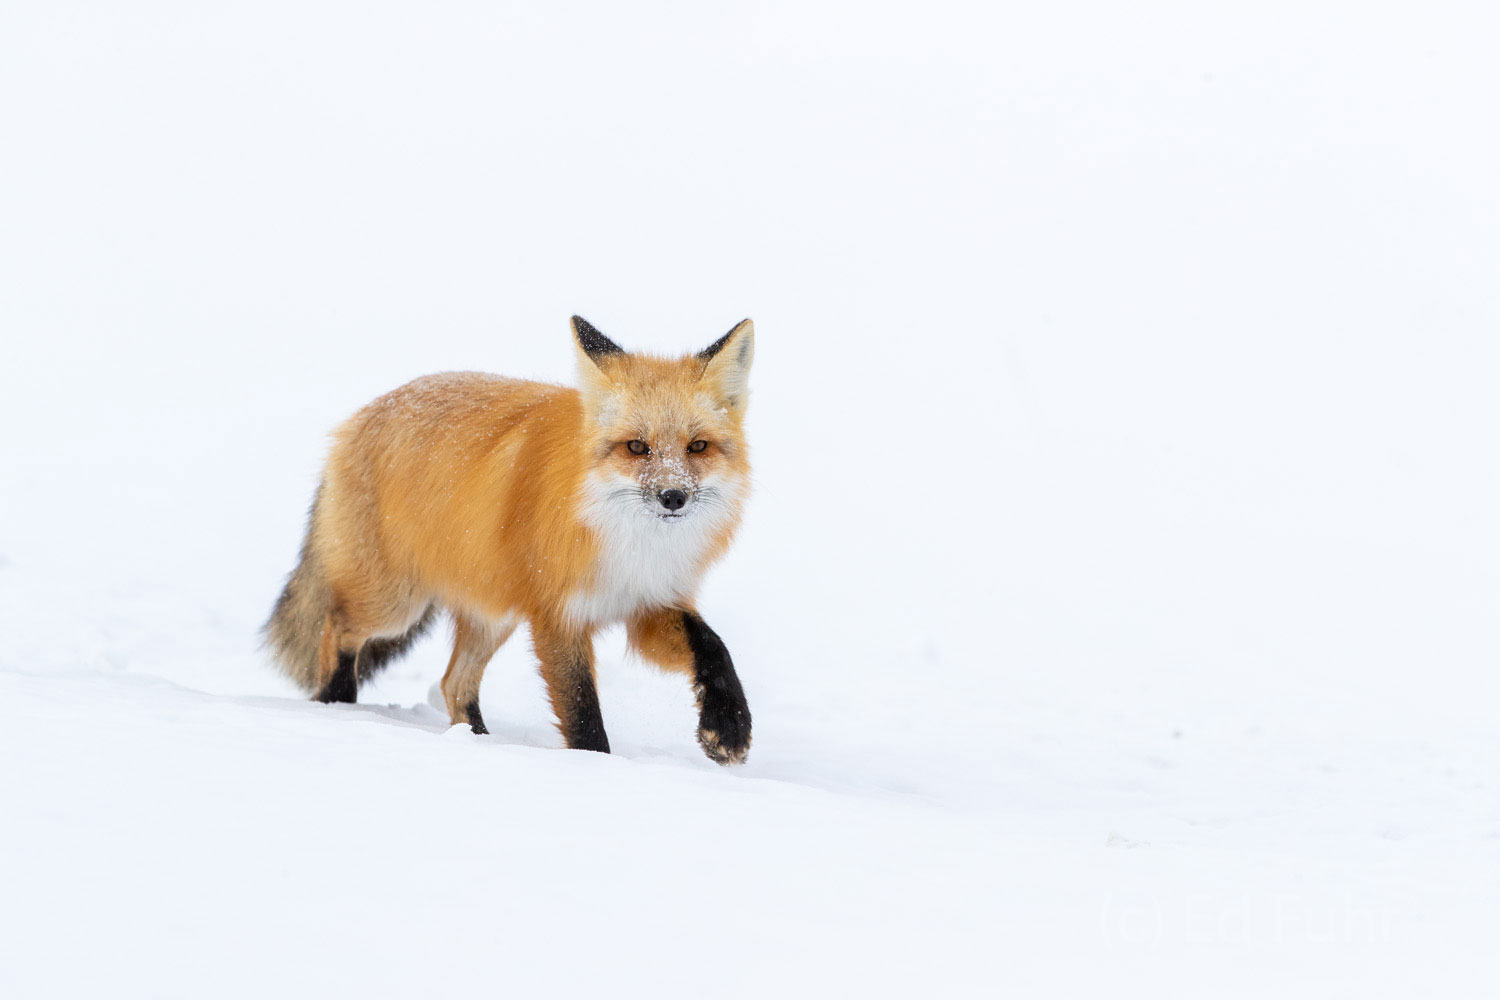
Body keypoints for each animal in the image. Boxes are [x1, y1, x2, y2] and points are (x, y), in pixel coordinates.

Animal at [265, 316, 756, 761]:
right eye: (637, 447)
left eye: (697, 447)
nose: (672, 497)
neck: (631, 543)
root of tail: (358, 418)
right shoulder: (558, 615)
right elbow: (581, 710)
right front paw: (595, 766)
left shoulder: (649, 602)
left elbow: (712, 646)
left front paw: (728, 726)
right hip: (395, 606)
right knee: (337, 629)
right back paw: (337, 707)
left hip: (490, 613)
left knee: (453, 683)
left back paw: (479, 742)